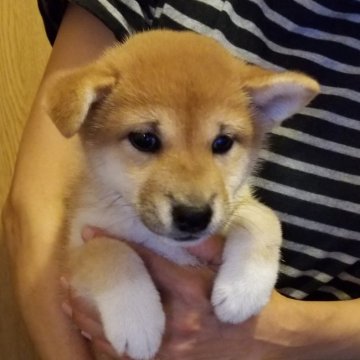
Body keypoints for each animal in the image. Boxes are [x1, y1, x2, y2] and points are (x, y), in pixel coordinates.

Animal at [46, 31, 320, 360]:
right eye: (144, 139)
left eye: (222, 142)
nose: (194, 216)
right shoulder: (74, 255)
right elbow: (107, 249)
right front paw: (136, 316)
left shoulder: (235, 202)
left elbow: (262, 217)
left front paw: (245, 287)